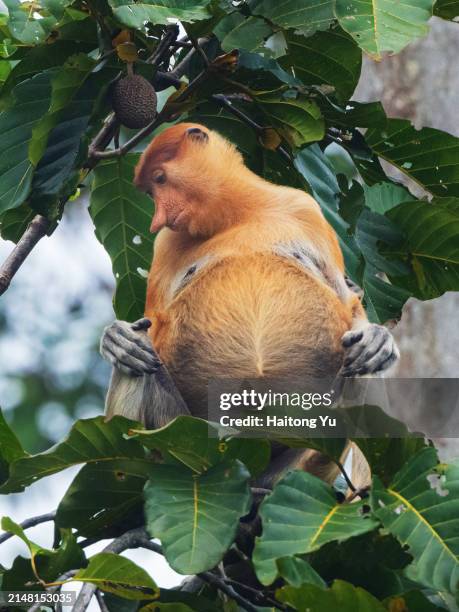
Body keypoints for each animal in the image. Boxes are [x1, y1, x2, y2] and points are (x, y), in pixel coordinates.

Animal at [100, 123, 398, 488]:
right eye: (150, 192)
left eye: (159, 179)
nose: (158, 219)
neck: (238, 215)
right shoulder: (165, 243)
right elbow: (153, 324)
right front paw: (116, 338)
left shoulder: (304, 208)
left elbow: (347, 302)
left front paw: (378, 339)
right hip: (181, 432)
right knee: (140, 362)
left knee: (360, 366)